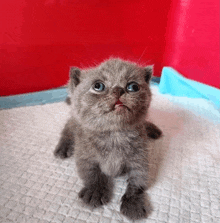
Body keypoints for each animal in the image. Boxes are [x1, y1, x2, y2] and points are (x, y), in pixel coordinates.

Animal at [54, 58, 162, 220]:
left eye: (133, 87)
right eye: (98, 86)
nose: (119, 90)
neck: (114, 134)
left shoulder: (140, 158)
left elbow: (138, 181)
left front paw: (133, 203)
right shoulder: (85, 155)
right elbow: (92, 174)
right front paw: (95, 191)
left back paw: (153, 129)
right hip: (75, 120)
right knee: (68, 125)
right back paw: (63, 147)